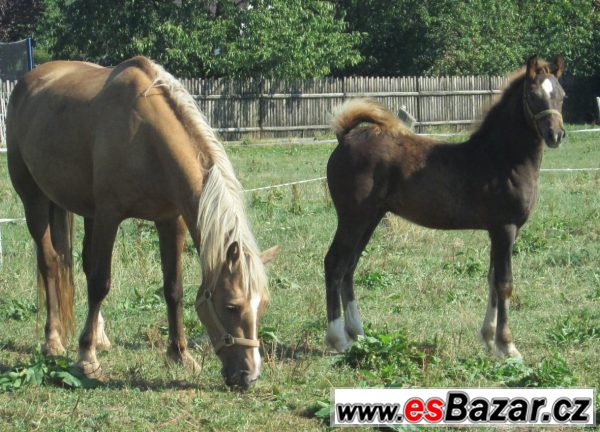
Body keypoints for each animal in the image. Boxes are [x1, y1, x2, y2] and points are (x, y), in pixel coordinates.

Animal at [7, 55, 278, 390]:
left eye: (262, 304)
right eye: (231, 305)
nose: (248, 376)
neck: (145, 137)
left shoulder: (170, 220)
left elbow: (173, 287)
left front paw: (180, 355)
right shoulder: (109, 216)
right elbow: (100, 283)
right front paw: (86, 358)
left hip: (85, 211)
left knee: (83, 264)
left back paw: (100, 335)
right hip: (34, 200)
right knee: (50, 264)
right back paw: (54, 340)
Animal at [326, 55, 564, 358]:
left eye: (562, 95)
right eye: (533, 96)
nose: (555, 134)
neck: (502, 158)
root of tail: (345, 137)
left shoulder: (498, 231)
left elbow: (491, 279)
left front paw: (489, 339)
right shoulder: (505, 228)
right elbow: (504, 283)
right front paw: (508, 346)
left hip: (370, 218)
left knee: (349, 266)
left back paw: (358, 333)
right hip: (352, 218)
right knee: (334, 264)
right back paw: (337, 339)